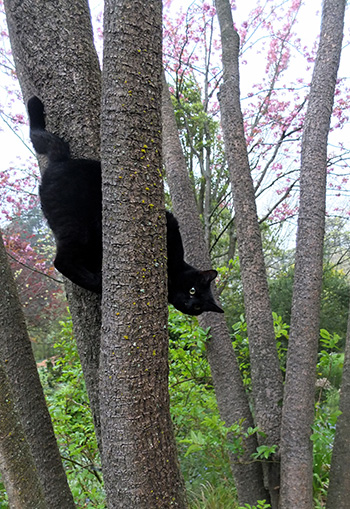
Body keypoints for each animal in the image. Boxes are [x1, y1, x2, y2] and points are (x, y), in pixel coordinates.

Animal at [28, 95, 223, 316]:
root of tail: (60, 162)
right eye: (192, 290)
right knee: (61, 261)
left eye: (198, 306)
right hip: (76, 224)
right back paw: (97, 282)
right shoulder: (170, 223)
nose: (190, 304)